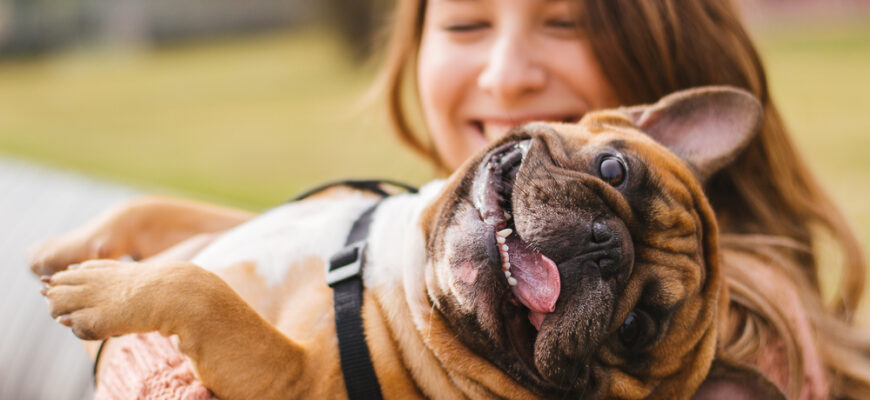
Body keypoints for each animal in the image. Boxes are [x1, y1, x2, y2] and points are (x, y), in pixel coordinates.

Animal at [32, 86, 784, 398]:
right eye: (613, 170)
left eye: (634, 328)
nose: (605, 247)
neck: (404, 268)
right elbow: (156, 207)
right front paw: (70, 248)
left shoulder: (292, 380)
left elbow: (206, 293)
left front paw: (102, 289)